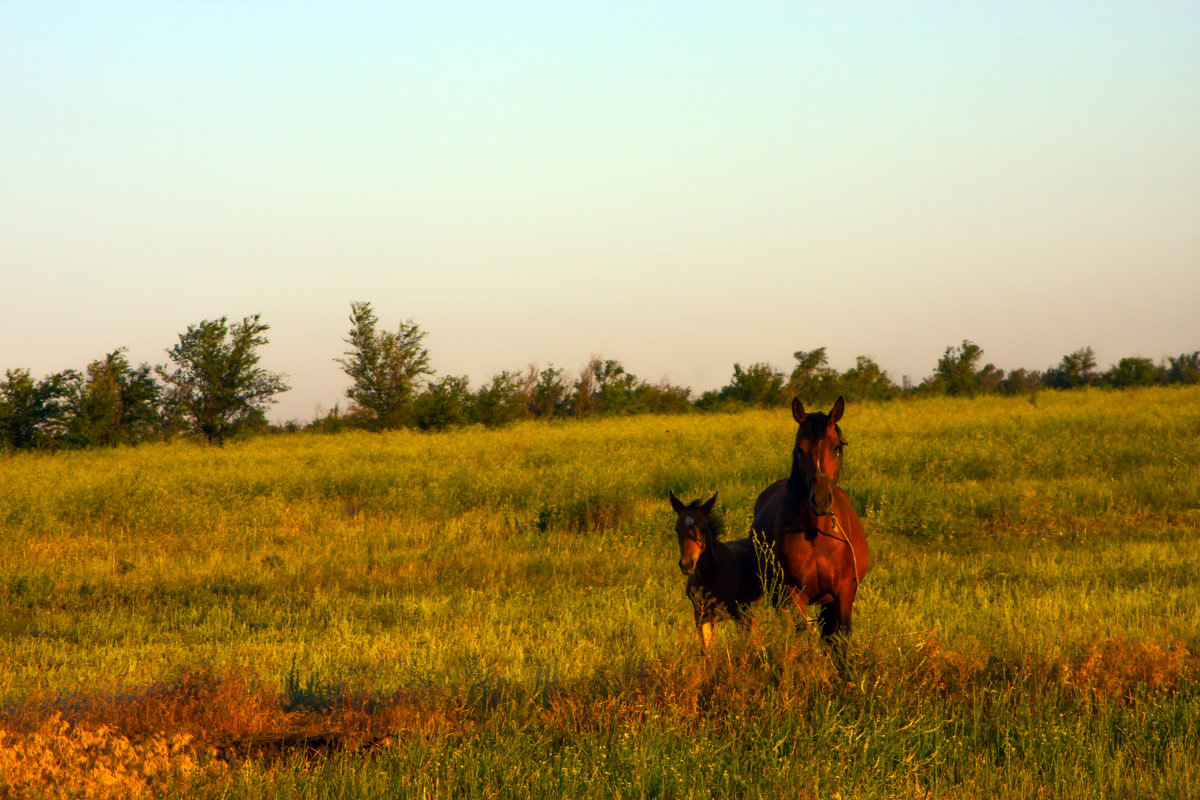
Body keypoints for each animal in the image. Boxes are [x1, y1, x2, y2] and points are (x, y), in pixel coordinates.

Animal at [672, 491, 763, 652]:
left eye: (703, 528)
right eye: (677, 529)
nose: (687, 564)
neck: (711, 577)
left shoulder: (741, 613)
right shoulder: (701, 616)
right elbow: (706, 651)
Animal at [753, 398, 868, 642]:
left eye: (836, 447)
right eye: (799, 449)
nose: (821, 500)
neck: (816, 533)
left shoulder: (844, 592)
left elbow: (841, 638)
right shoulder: (794, 594)